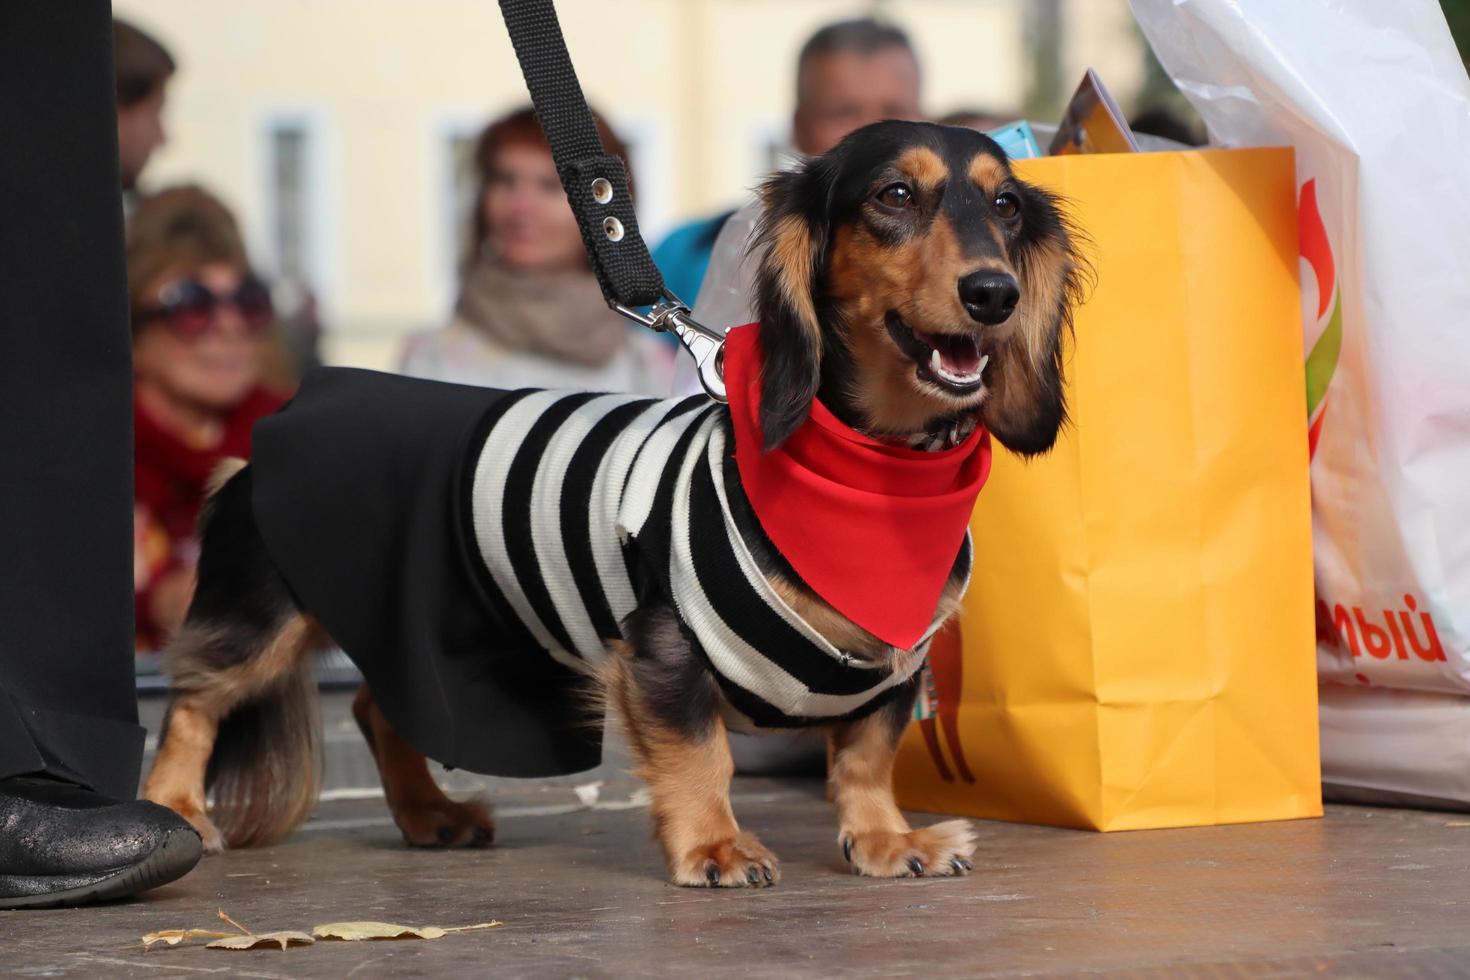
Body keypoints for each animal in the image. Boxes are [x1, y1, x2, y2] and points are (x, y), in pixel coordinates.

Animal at [143, 122, 1087, 887]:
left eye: (1006, 205)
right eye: (894, 195)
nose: (994, 294)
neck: (874, 472)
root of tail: (288, 412)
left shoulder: (891, 663)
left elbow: (864, 758)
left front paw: (888, 841)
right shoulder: (665, 644)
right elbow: (703, 757)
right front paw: (715, 847)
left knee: (381, 707)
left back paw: (430, 815)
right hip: (263, 618)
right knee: (194, 701)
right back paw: (177, 811)